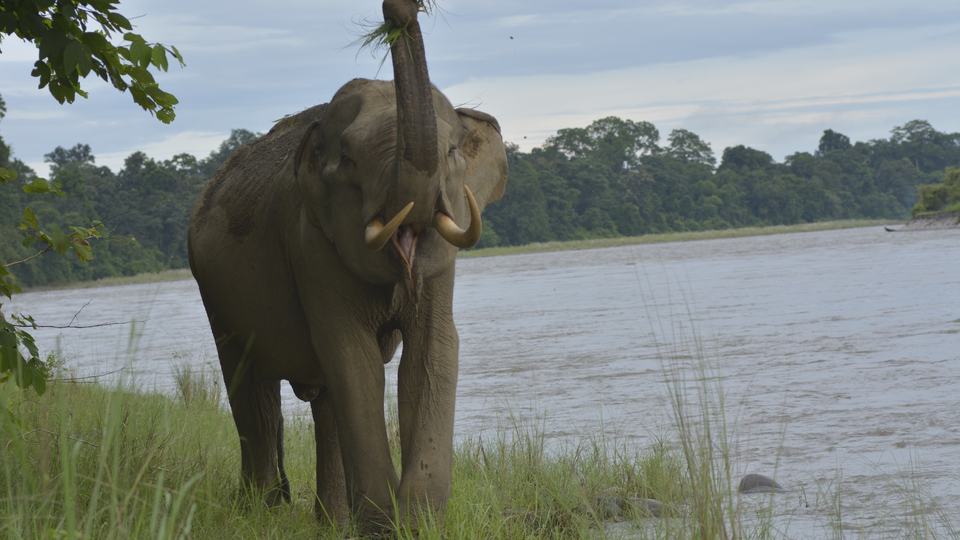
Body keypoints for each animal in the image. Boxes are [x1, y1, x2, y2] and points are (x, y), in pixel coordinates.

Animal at [187, 0, 506, 528]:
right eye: (351, 160)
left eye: (452, 152)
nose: (400, 9)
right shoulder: (310, 242)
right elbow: (351, 356)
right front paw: (383, 523)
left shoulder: (442, 260)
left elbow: (432, 351)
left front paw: (417, 521)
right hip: (214, 294)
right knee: (252, 391)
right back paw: (263, 509)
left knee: (323, 402)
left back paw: (331, 521)